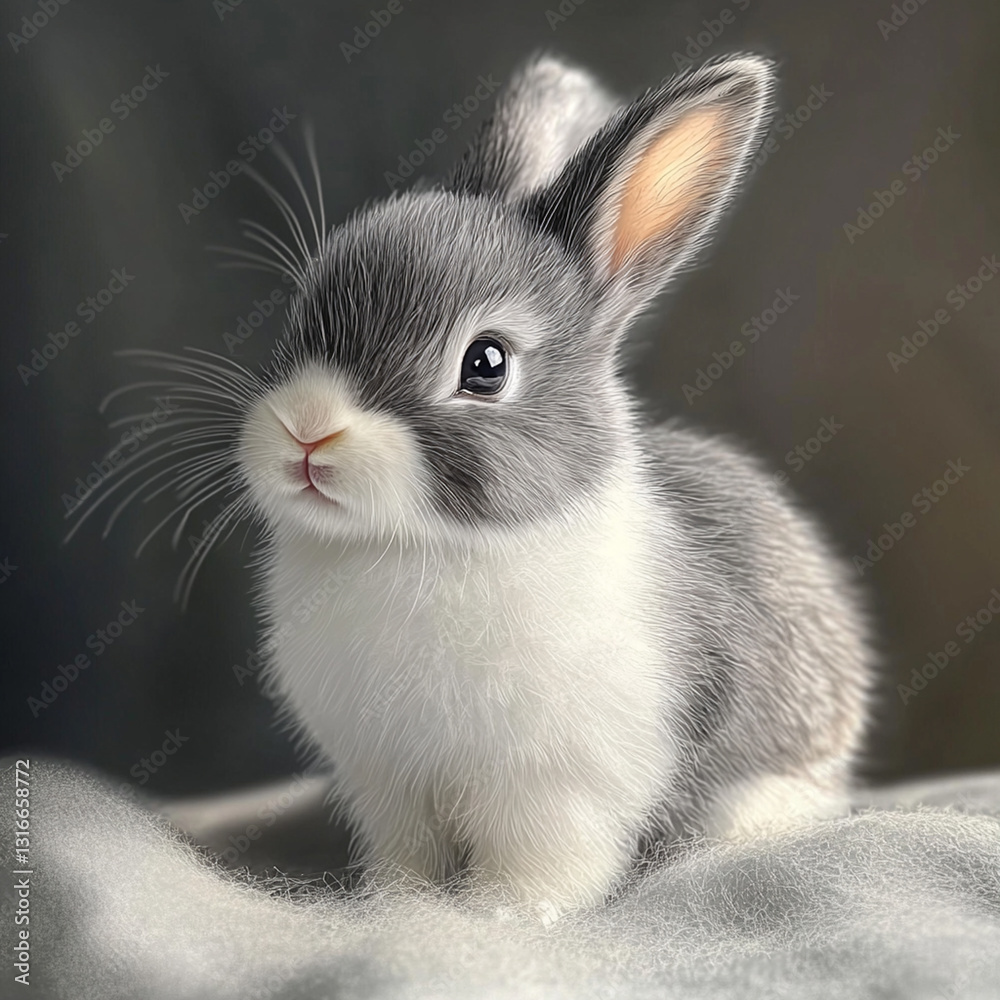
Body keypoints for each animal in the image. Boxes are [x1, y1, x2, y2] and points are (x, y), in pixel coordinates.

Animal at [168, 52, 873, 919]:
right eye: (300, 321)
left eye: (486, 364)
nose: (307, 429)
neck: (419, 546)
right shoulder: (390, 785)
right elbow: (408, 857)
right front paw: (394, 903)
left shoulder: (557, 788)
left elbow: (544, 858)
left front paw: (502, 913)